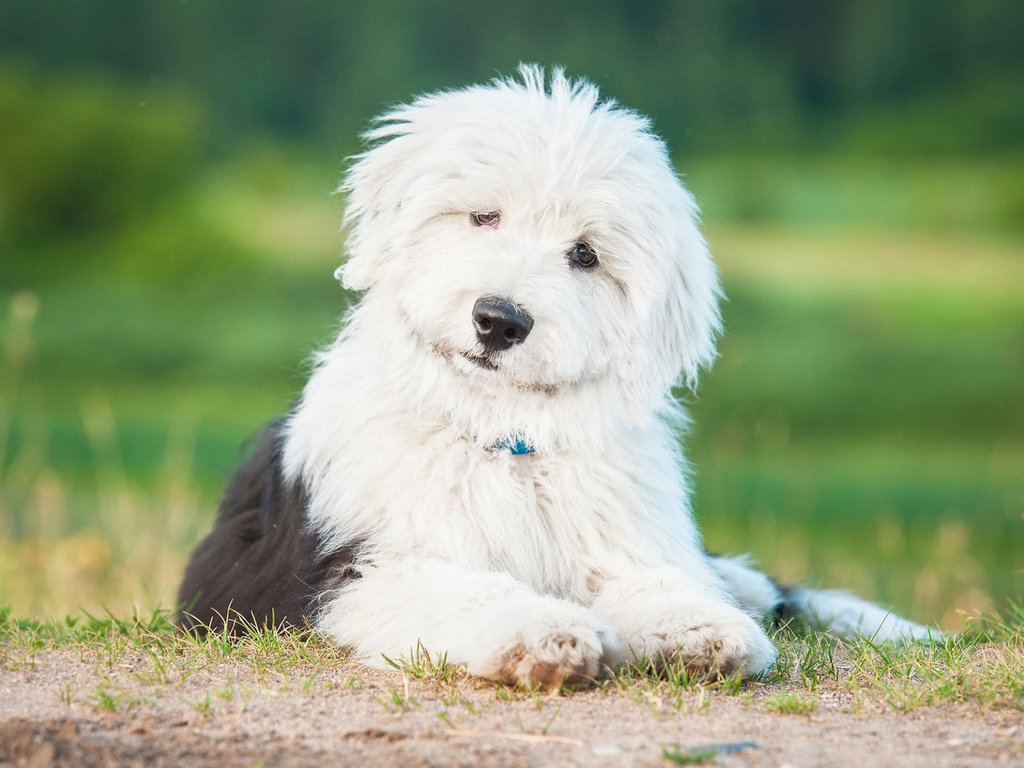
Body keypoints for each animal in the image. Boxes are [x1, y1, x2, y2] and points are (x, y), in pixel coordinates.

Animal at [178, 66, 937, 692]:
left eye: (585, 254)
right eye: (484, 215)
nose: (499, 321)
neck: (504, 435)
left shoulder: (621, 538)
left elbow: (654, 581)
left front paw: (698, 631)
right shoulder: (364, 567)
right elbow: (467, 592)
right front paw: (547, 635)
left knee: (765, 584)